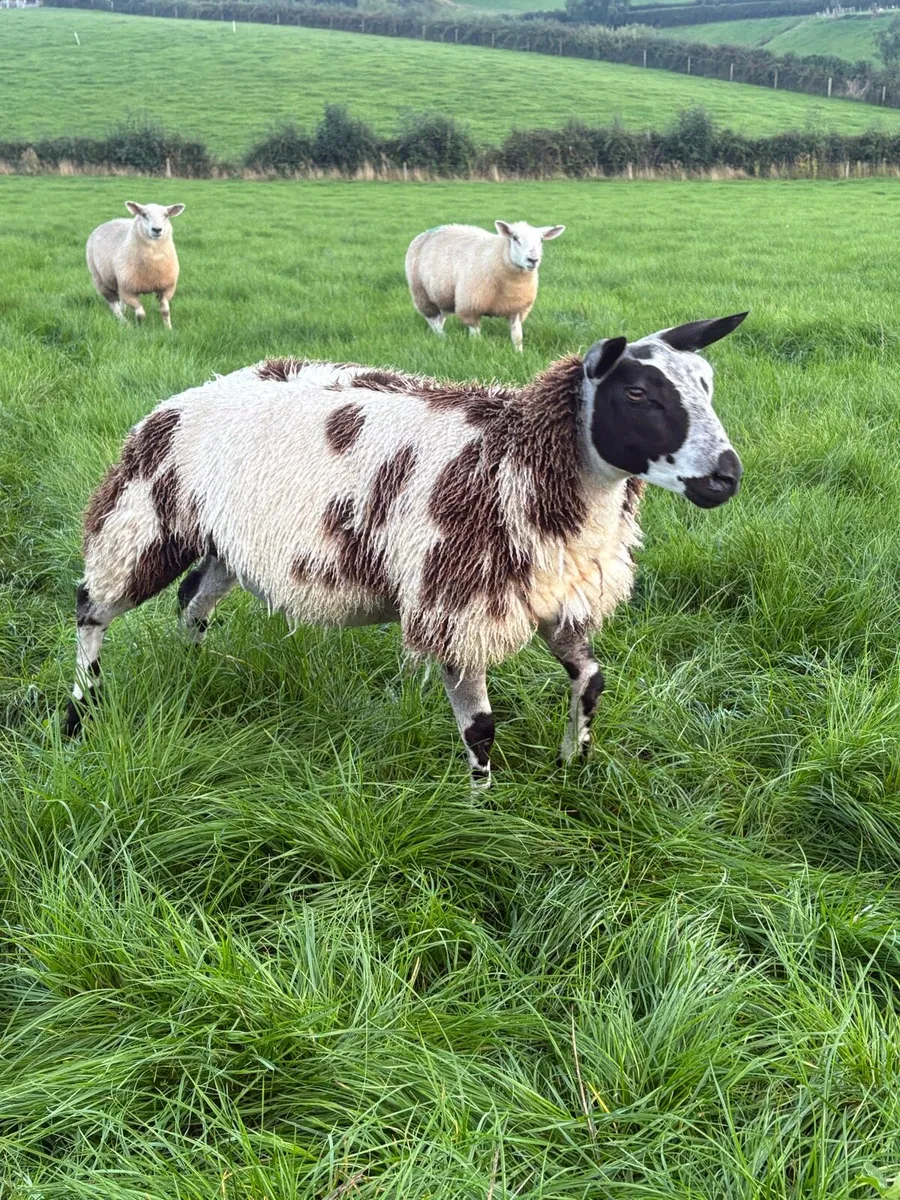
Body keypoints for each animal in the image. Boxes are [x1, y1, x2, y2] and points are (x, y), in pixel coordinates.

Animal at [63, 313, 747, 785]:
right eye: (637, 395)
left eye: (708, 384)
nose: (727, 476)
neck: (516, 456)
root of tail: (183, 397)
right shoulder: (456, 604)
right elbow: (481, 729)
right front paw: (481, 814)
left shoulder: (551, 593)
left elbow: (592, 679)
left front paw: (572, 763)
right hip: (141, 519)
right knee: (91, 607)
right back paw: (79, 714)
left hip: (228, 545)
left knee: (191, 603)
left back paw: (196, 672)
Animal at [405, 220, 565, 351]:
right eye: (514, 238)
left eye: (541, 240)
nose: (533, 260)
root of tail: (430, 230)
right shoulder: (471, 307)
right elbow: (476, 337)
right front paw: (478, 349)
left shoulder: (517, 309)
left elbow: (517, 337)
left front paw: (519, 354)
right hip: (421, 292)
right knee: (432, 319)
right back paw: (443, 338)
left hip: (444, 296)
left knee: (440, 318)